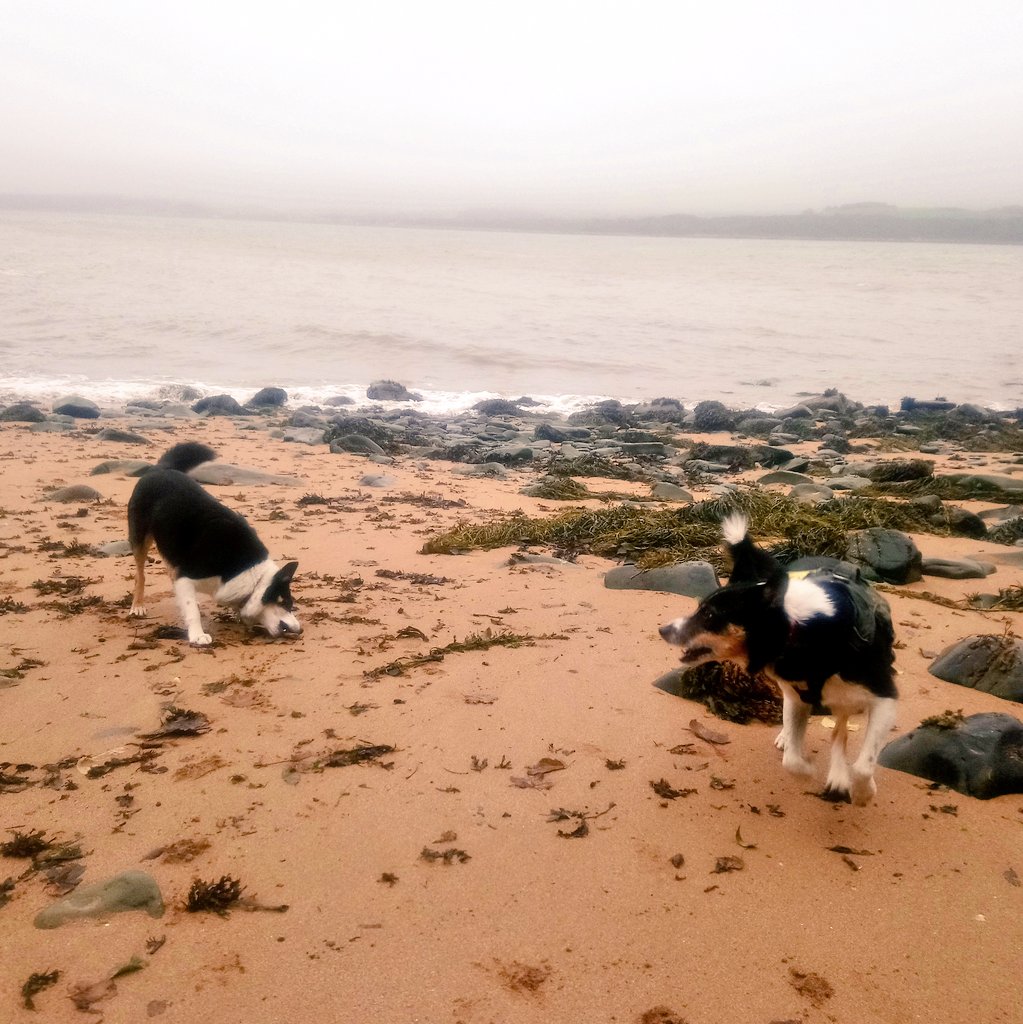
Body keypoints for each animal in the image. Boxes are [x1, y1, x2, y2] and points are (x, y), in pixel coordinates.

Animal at [126, 442, 299, 647]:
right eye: (286, 604)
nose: (300, 630)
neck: (251, 575)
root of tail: (161, 469)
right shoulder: (186, 577)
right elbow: (192, 611)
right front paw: (197, 635)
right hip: (140, 538)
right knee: (140, 574)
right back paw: (137, 605)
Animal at [663, 516, 897, 802]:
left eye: (709, 615)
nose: (663, 630)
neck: (802, 632)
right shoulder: (799, 697)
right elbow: (792, 761)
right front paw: (808, 770)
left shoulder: (885, 698)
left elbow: (863, 765)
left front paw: (863, 792)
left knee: (840, 727)